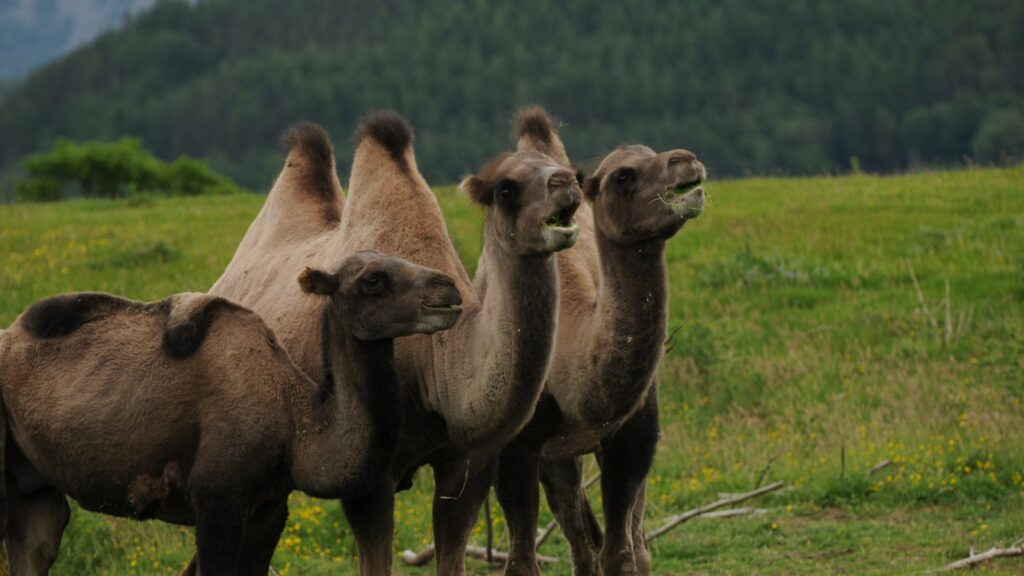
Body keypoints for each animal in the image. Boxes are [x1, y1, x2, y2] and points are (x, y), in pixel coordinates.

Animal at [0, 250, 462, 575]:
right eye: (373, 280)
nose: (450, 290)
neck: (294, 422)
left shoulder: (269, 510)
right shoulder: (217, 503)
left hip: (34, 486)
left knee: (37, 545)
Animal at [488, 107, 707, 576]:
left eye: (651, 150)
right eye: (623, 175)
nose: (686, 159)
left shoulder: (633, 438)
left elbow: (624, 555)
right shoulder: (517, 447)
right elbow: (523, 560)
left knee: (612, 541)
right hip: (557, 457)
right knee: (580, 538)